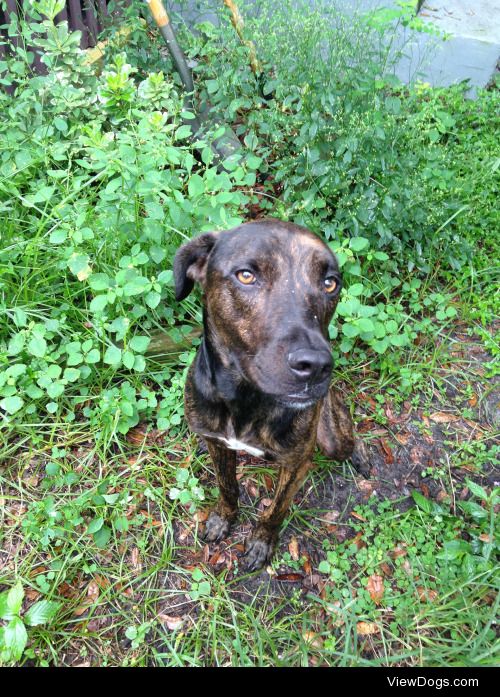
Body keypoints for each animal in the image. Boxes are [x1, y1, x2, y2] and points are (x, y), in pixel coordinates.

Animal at [174, 219, 370, 572]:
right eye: (246, 275)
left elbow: (276, 509)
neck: (246, 402)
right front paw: (224, 519)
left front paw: (262, 542)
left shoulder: (296, 465)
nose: (316, 366)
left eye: (330, 283)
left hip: (332, 437)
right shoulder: (217, 443)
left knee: (349, 436)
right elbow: (227, 486)